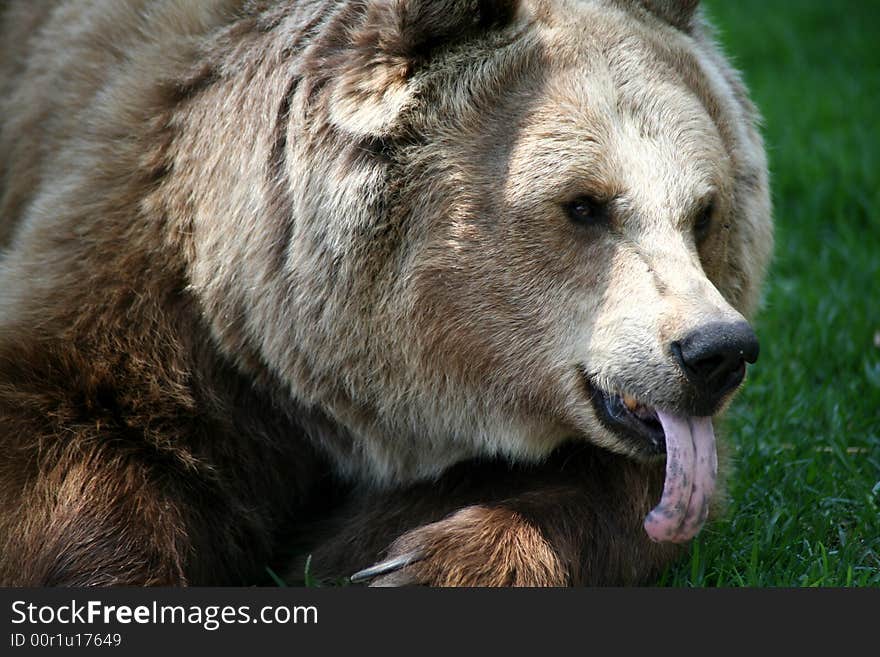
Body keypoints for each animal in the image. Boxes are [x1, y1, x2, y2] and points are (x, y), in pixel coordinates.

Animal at [0, 0, 768, 584]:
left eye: (704, 211)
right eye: (583, 204)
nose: (716, 350)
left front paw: (415, 563)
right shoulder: (138, 267)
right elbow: (70, 441)